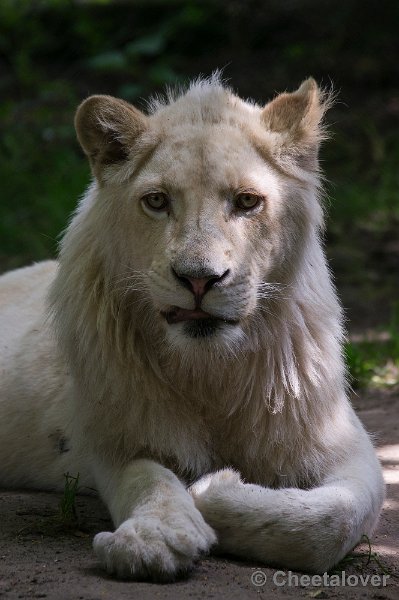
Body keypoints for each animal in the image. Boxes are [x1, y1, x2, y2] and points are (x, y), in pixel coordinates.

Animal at [0, 76, 388, 580]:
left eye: (247, 201)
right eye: (157, 201)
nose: (199, 279)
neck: (210, 372)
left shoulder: (344, 443)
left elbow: (327, 522)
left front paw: (213, 490)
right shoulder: (113, 434)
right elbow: (149, 479)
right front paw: (155, 538)